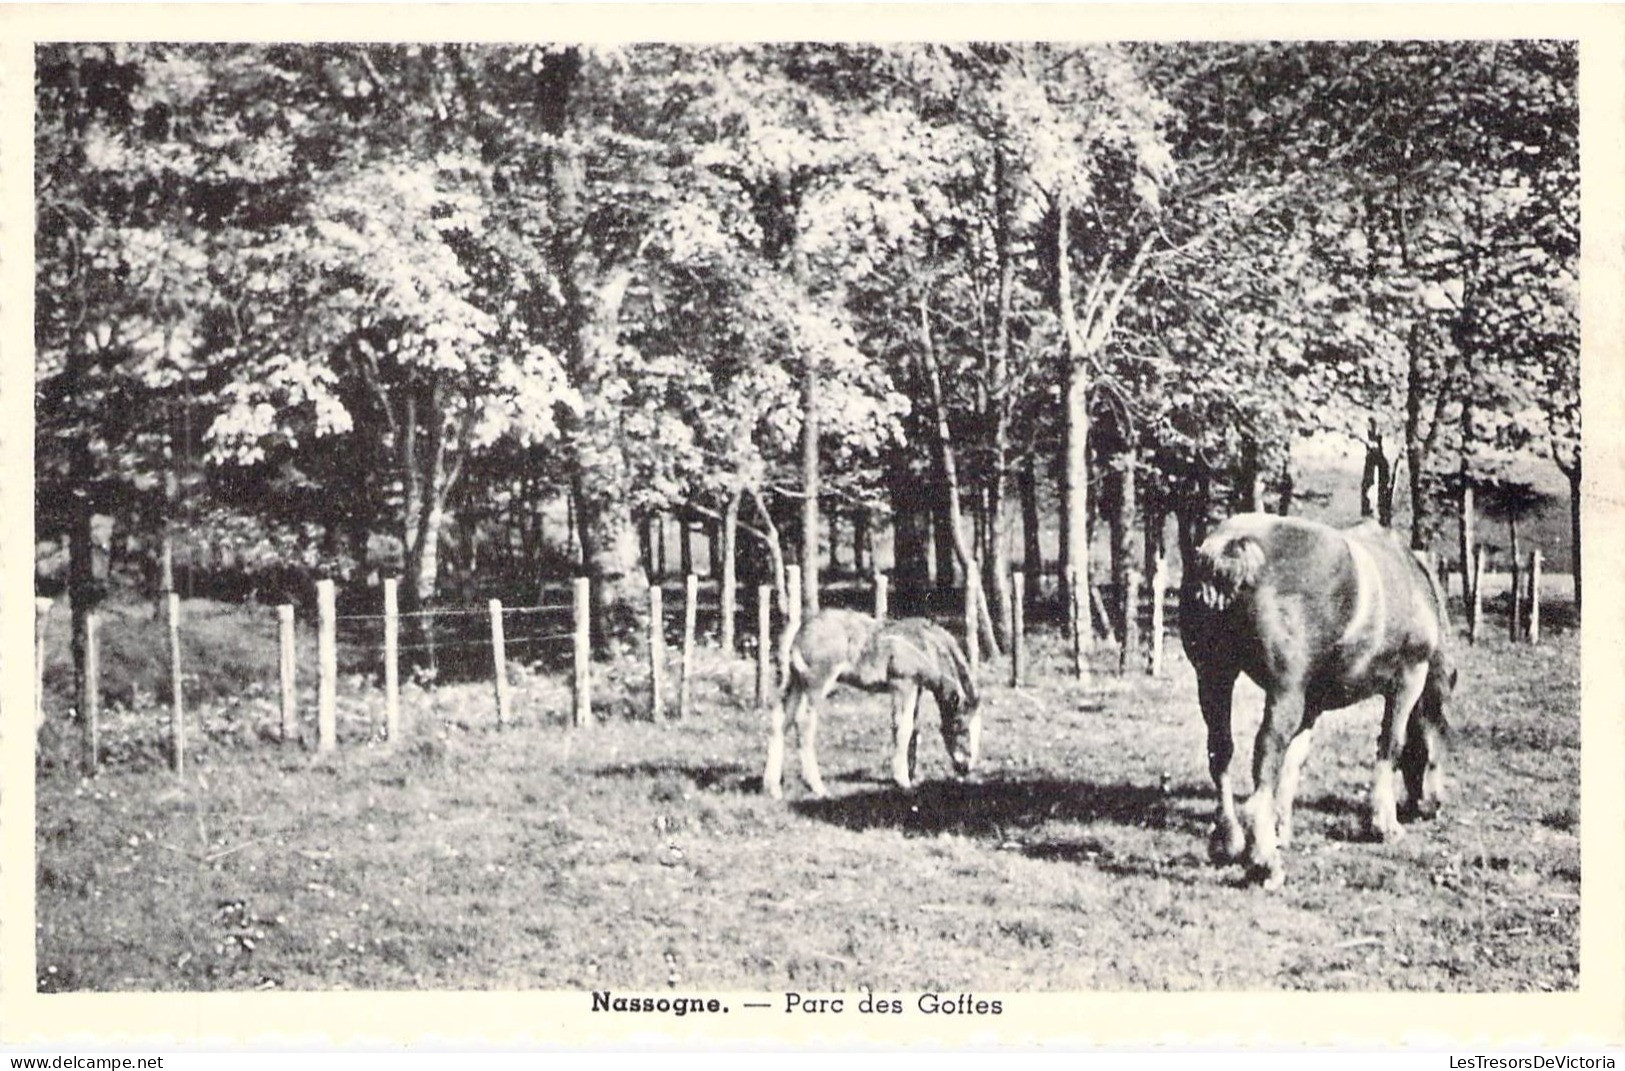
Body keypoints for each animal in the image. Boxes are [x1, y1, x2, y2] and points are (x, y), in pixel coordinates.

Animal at [760, 607, 975, 799]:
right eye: (962, 727)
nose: (967, 767)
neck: (924, 645)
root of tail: (798, 633)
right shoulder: (902, 683)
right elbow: (903, 727)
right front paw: (903, 781)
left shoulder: (916, 687)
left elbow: (914, 728)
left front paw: (912, 774)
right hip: (817, 681)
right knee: (803, 722)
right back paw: (817, 786)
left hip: (795, 682)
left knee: (780, 720)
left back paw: (773, 788)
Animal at [1183, 513, 1462, 890]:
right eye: (1444, 732)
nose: (1433, 806)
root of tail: (1229, 548)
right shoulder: (1408, 678)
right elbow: (1392, 744)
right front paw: (1384, 824)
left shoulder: (1310, 703)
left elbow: (1294, 760)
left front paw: (1281, 827)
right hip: (1282, 692)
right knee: (1264, 756)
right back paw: (1264, 861)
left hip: (1214, 677)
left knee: (1220, 752)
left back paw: (1229, 841)